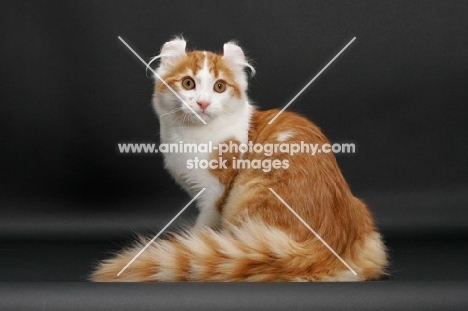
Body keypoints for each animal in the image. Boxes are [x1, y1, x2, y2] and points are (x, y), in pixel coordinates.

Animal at [91, 37, 388, 282]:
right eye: (188, 83)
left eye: (219, 87)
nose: (203, 103)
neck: (191, 135)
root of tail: (320, 248)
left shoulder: (213, 194)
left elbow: (203, 230)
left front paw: (200, 242)